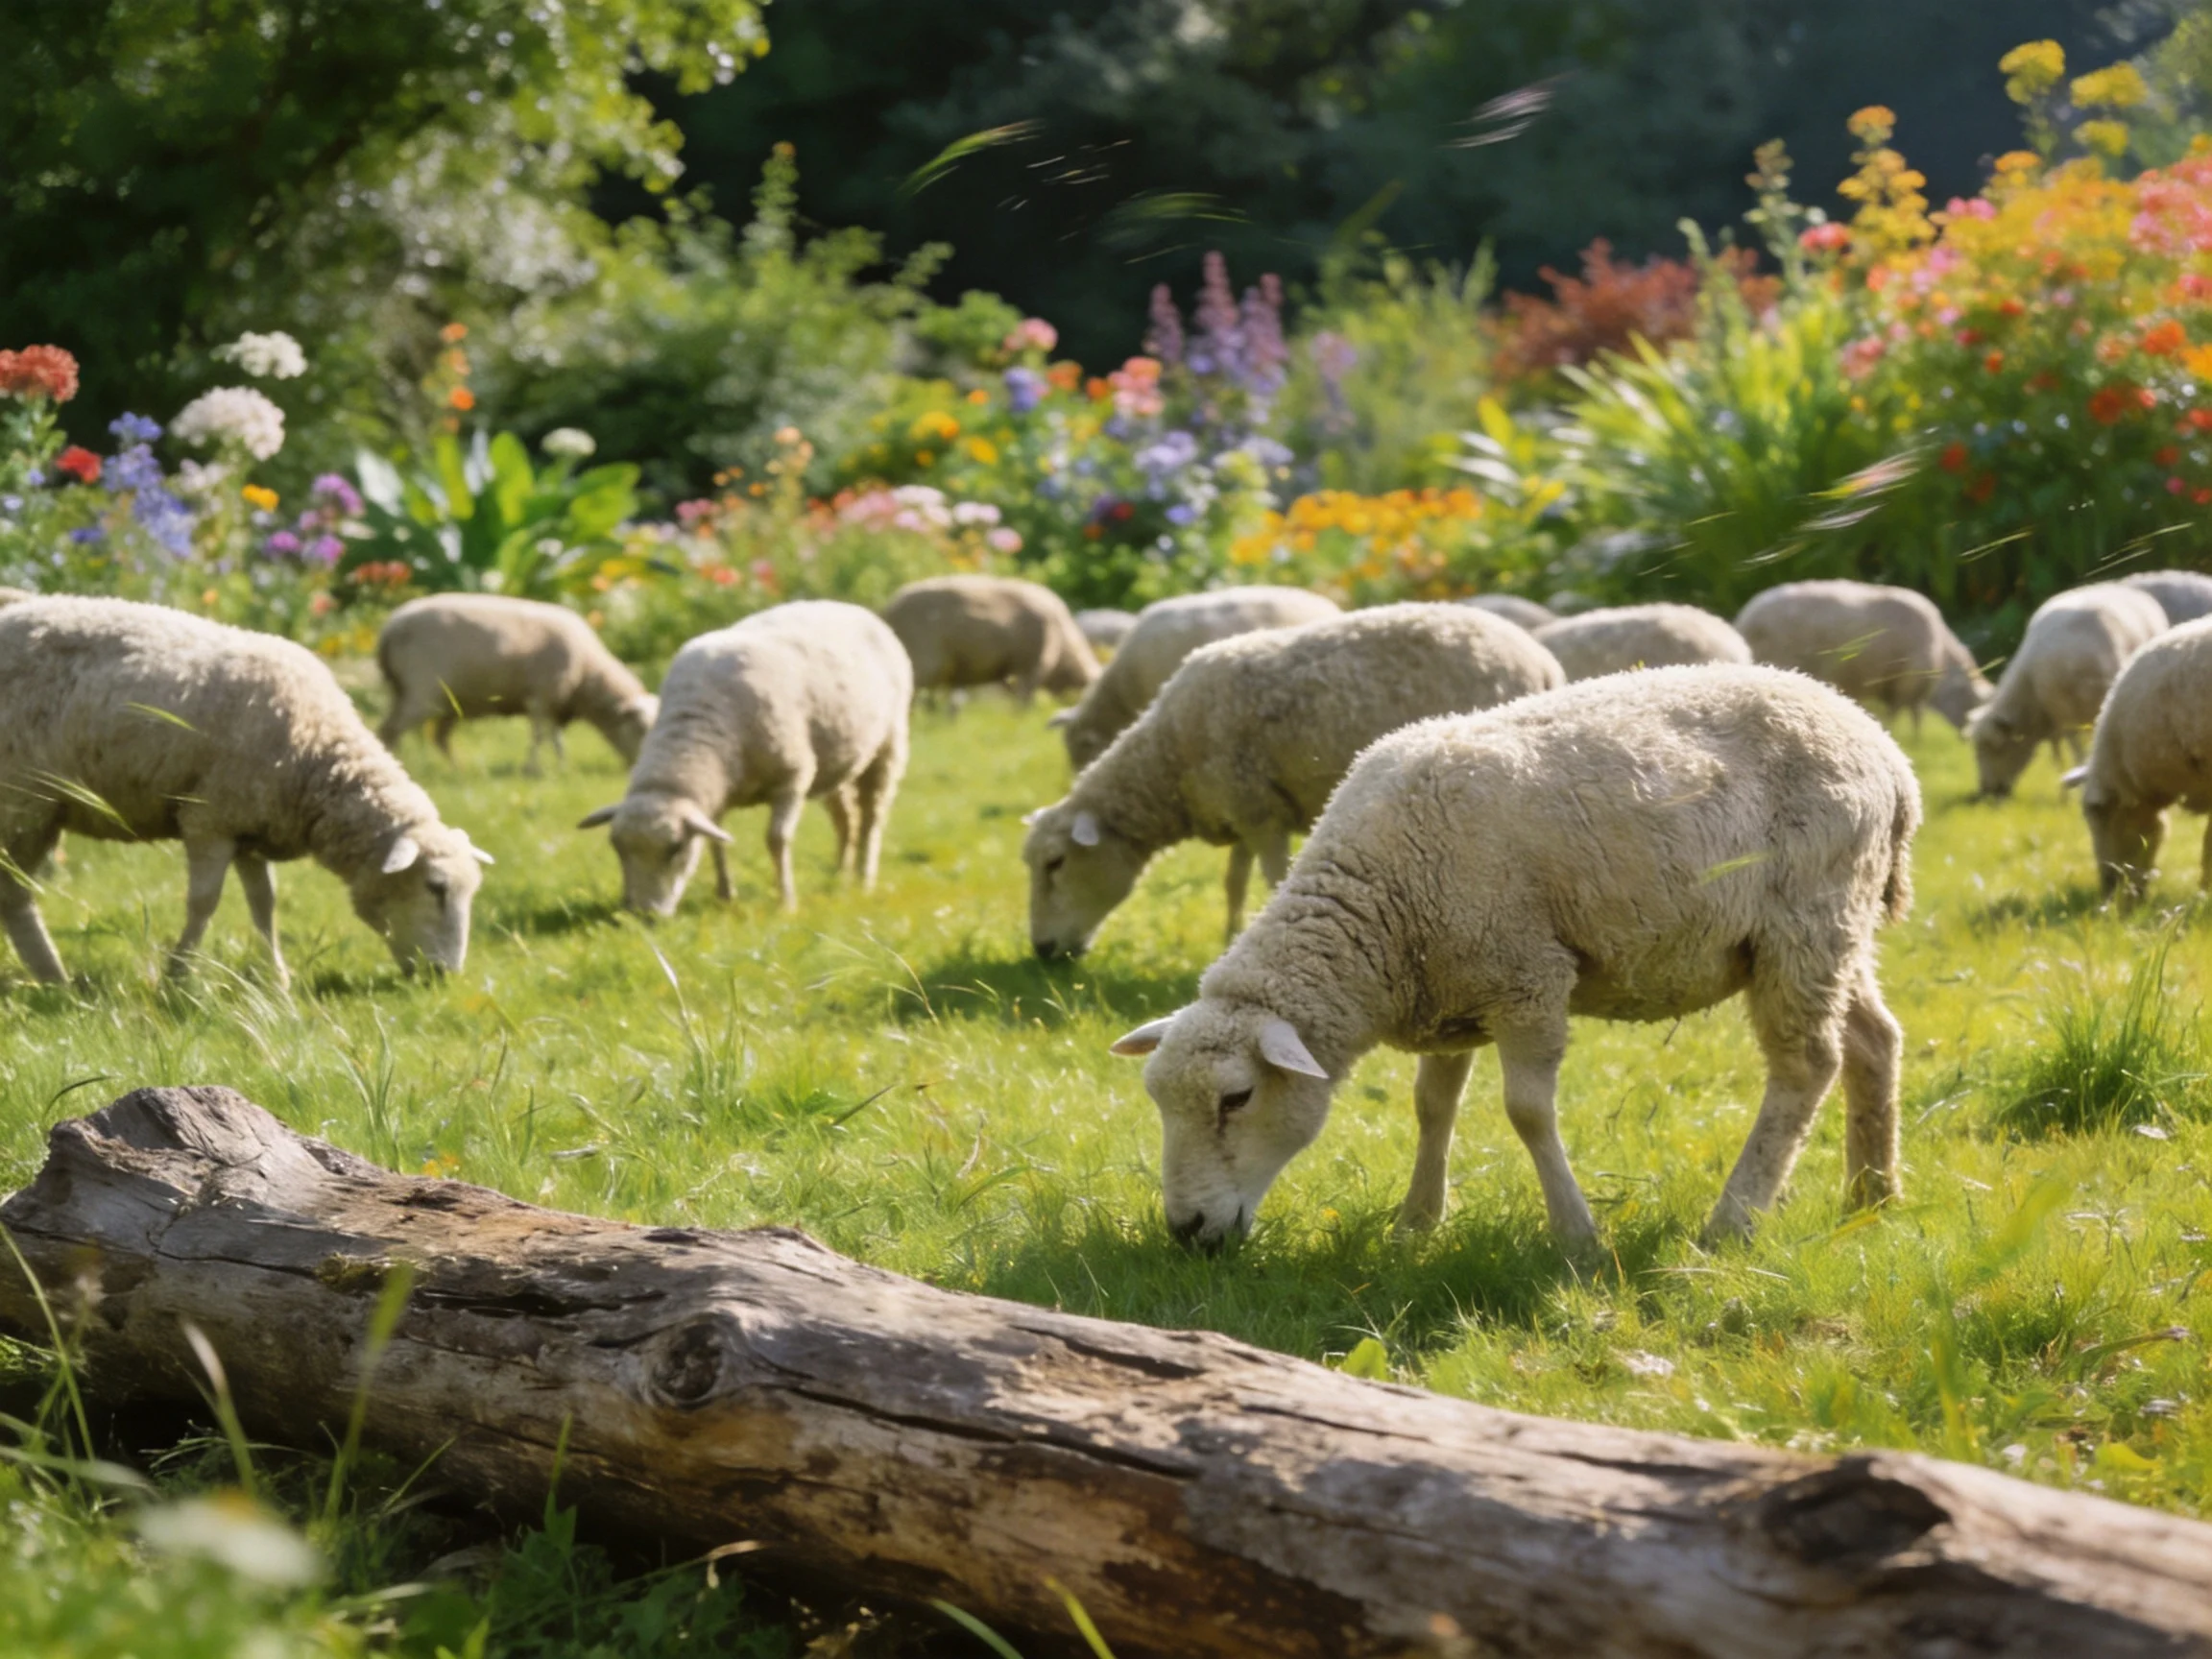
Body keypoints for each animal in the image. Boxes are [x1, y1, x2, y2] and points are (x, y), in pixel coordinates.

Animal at [0, 596, 491, 987]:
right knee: (15, 895)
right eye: (436, 888)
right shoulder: (209, 819)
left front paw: (277, 978)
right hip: (22, 802)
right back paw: (53, 978)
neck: (317, 754)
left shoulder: (251, 827)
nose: (444, 976)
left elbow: (264, 906)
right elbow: (204, 903)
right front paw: (178, 976)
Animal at [377, 593, 657, 774]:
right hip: (422, 693)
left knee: (435, 737)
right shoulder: (541, 697)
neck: (588, 673)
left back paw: (457, 770)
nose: (636, 770)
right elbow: (539, 737)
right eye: (641, 729)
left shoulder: (555, 703)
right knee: (392, 730)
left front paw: (563, 767)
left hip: (425, 697)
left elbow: (556, 740)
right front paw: (532, 770)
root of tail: (392, 625)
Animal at [577, 600, 910, 914]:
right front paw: (726, 896)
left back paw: (864, 880)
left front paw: (786, 902)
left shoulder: (793, 777)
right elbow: (715, 841)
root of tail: (849, 606)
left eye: (675, 848)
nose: (643, 914)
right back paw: (840, 875)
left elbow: (777, 839)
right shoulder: (715, 800)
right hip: (837, 761)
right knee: (846, 819)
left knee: (871, 819)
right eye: (617, 848)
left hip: (888, 747)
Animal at [1110, 664, 1919, 1253]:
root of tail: (1885, 750)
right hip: (1835, 930)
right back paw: (1871, 1195)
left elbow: (1526, 1112)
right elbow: (1431, 1107)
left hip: (1804, 920)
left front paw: (1577, 1238)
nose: (1185, 1232)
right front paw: (1415, 1223)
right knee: (1874, 1041)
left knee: (1806, 1065)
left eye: (1236, 1099)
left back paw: (1734, 1220)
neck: (1378, 909)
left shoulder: (1526, 975)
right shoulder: (1450, 986)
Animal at [1734, 579, 1991, 734]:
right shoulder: (1905, 682)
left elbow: (1910, 716)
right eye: (1973, 704)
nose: (1966, 738)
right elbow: (1904, 715)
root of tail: (1745, 618)